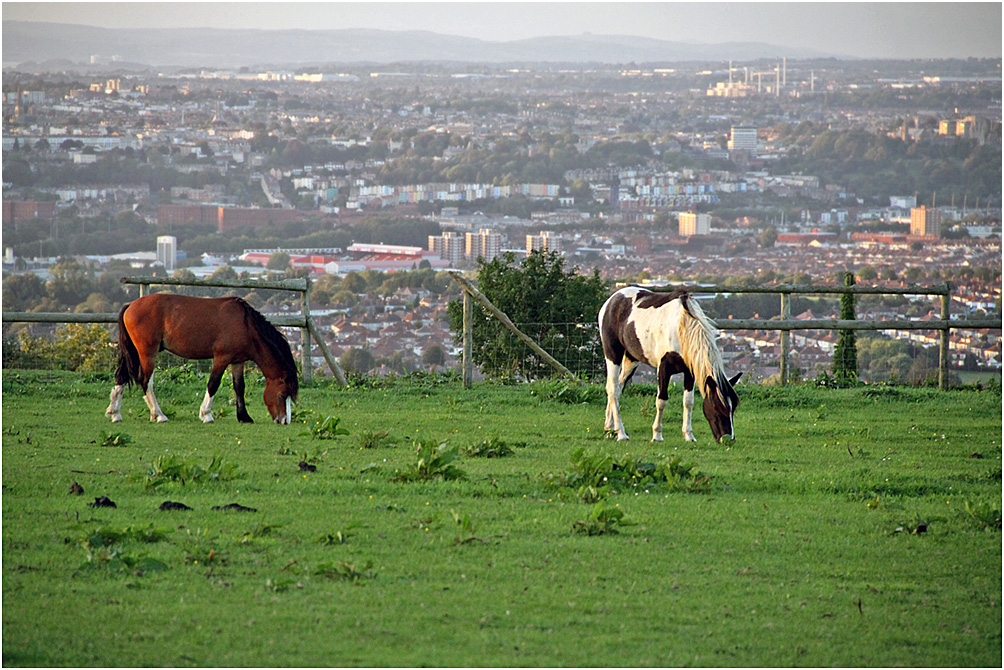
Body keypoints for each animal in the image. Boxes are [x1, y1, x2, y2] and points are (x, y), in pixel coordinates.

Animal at [109, 295, 299, 427]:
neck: (245, 324)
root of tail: (130, 305)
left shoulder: (238, 361)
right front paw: (206, 414)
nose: (284, 420)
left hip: (134, 352)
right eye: (282, 395)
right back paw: (159, 415)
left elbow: (239, 387)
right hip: (148, 353)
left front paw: (244, 416)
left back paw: (116, 413)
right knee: (145, 381)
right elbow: (213, 384)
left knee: (122, 378)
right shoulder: (222, 358)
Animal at [598, 285, 742, 441]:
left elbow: (688, 401)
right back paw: (621, 433)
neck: (682, 325)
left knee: (618, 386)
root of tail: (612, 299)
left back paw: (609, 427)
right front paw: (657, 435)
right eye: (717, 407)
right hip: (613, 355)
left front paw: (688, 435)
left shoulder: (689, 371)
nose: (728, 439)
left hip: (631, 359)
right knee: (613, 389)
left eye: (732, 408)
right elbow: (661, 400)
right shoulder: (663, 368)